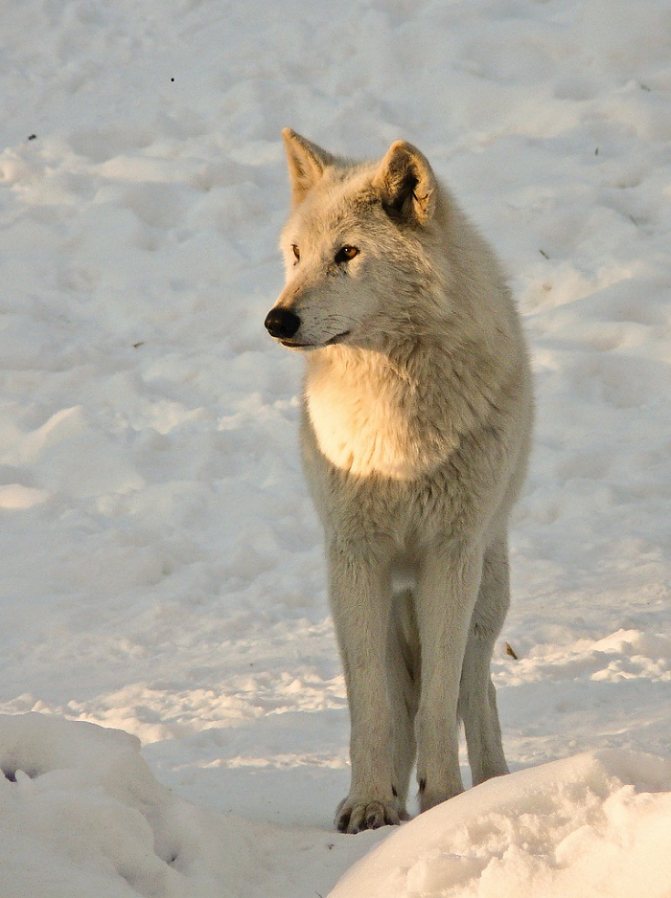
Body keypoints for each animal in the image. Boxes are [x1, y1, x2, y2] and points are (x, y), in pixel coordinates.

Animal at [264, 129, 533, 833]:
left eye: (347, 253)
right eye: (296, 255)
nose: (277, 321)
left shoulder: (450, 556)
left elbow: (440, 700)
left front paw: (444, 801)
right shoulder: (355, 559)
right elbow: (373, 706)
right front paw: (369, 802)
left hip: (484, 587)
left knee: (475, 687)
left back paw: (492, 783)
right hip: (379, 601)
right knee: (396, 695)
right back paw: (384, 791)